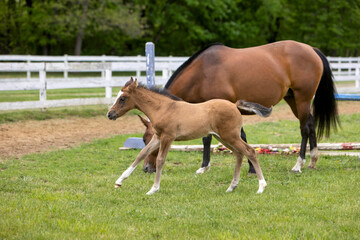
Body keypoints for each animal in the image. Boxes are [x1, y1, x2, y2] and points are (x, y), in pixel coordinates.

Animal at [108, 78, 272, 195]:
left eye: (122, 98)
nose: (110, 114)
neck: (163, 108)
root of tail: (235, 105)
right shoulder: (157, 137)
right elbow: (141, 154)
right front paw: (119, 181)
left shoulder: (168, 137)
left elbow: (160, 160)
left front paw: (153, 189)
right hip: (223, 137)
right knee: (239, 154)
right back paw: (232, 187)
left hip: (230, 136)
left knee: (250, 151)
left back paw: (261, 187)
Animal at [141, 40, 340, 173]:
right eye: (143, 140)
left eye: (149, 140)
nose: (147, 168)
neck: (202, 73)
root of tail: (311, 49)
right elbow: (231, 137)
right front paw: (249, 167)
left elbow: (214, 138)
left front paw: (206, 167)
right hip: (293, 100)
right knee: (311, 123)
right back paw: (313, 161)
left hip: (302, 98)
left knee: (305, 128)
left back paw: (298, 165)